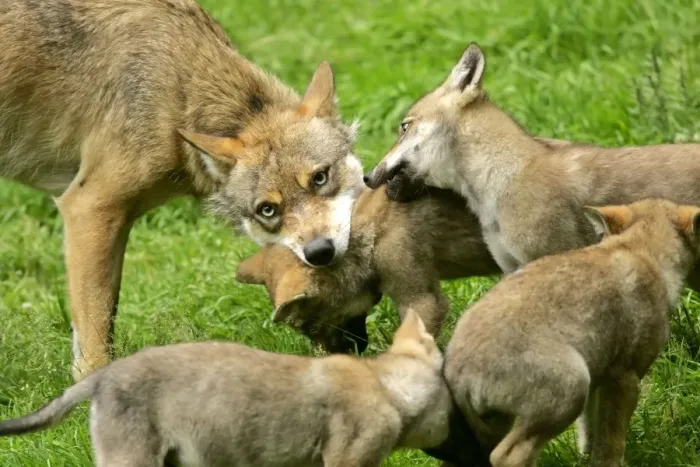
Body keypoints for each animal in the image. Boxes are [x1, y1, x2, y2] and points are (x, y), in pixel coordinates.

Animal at [0, 0, 363, 380]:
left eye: (320, 178)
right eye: (268, 210)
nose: (320, 252)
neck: (179, 91)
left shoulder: (113, 221)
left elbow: (107, 315)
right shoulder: (88, 207)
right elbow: (95, 335)